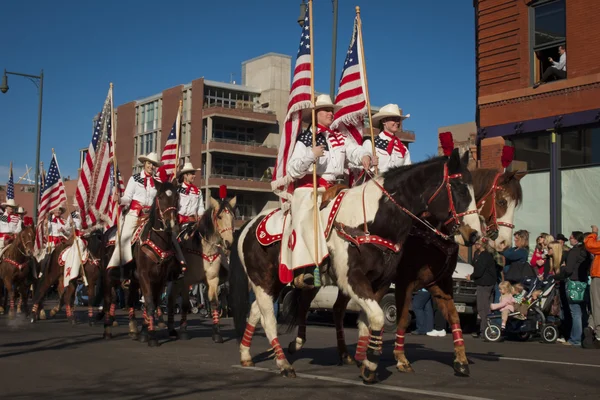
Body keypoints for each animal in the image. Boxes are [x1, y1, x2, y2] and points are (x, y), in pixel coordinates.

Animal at [101, 180, 183, 346]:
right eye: (160, 196)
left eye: (177, 197)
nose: (171, 224)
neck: (158, 240)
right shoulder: (145, 275)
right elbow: (150, 303)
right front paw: (151, 337)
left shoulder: (160, 278)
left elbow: (154, 302)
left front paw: (145, 332)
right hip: (108, 277)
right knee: (108, 300)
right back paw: (107, 331)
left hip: (133, 280)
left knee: (130, 301)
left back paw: (133, 330)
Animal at [168, 195, 238, 342]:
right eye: (220, 217)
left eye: (233, 217)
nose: (229, 243)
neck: (204, 249)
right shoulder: (186, 281)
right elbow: (185, 304)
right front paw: (183, 331)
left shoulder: (213, 280)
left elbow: (214, 303)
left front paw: (217, 333)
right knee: (170, 299)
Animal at [229, 150, 482, 382]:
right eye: (459, 187)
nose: (474, 234)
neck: (372, 220)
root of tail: (248, 225)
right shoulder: (359, 280)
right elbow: (380, 317)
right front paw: (372, 364)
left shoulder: (383, 282)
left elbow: (368, 321)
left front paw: (368, 358)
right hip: (263, 281)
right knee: (270, 320)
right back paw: (283, 363)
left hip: (277, 282)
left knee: (258, 312)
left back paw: (246, 354)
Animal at [286, 168, 524, 378]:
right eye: (502, 202)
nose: (504, 242)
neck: (429, 231)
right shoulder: (404, 282)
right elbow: (400, 318)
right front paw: (400, 359)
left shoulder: (439, 283)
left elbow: (453, 316)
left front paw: (461, 361)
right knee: (305, 303)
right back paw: (297, 344)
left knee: (337, 309)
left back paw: (345, 354)